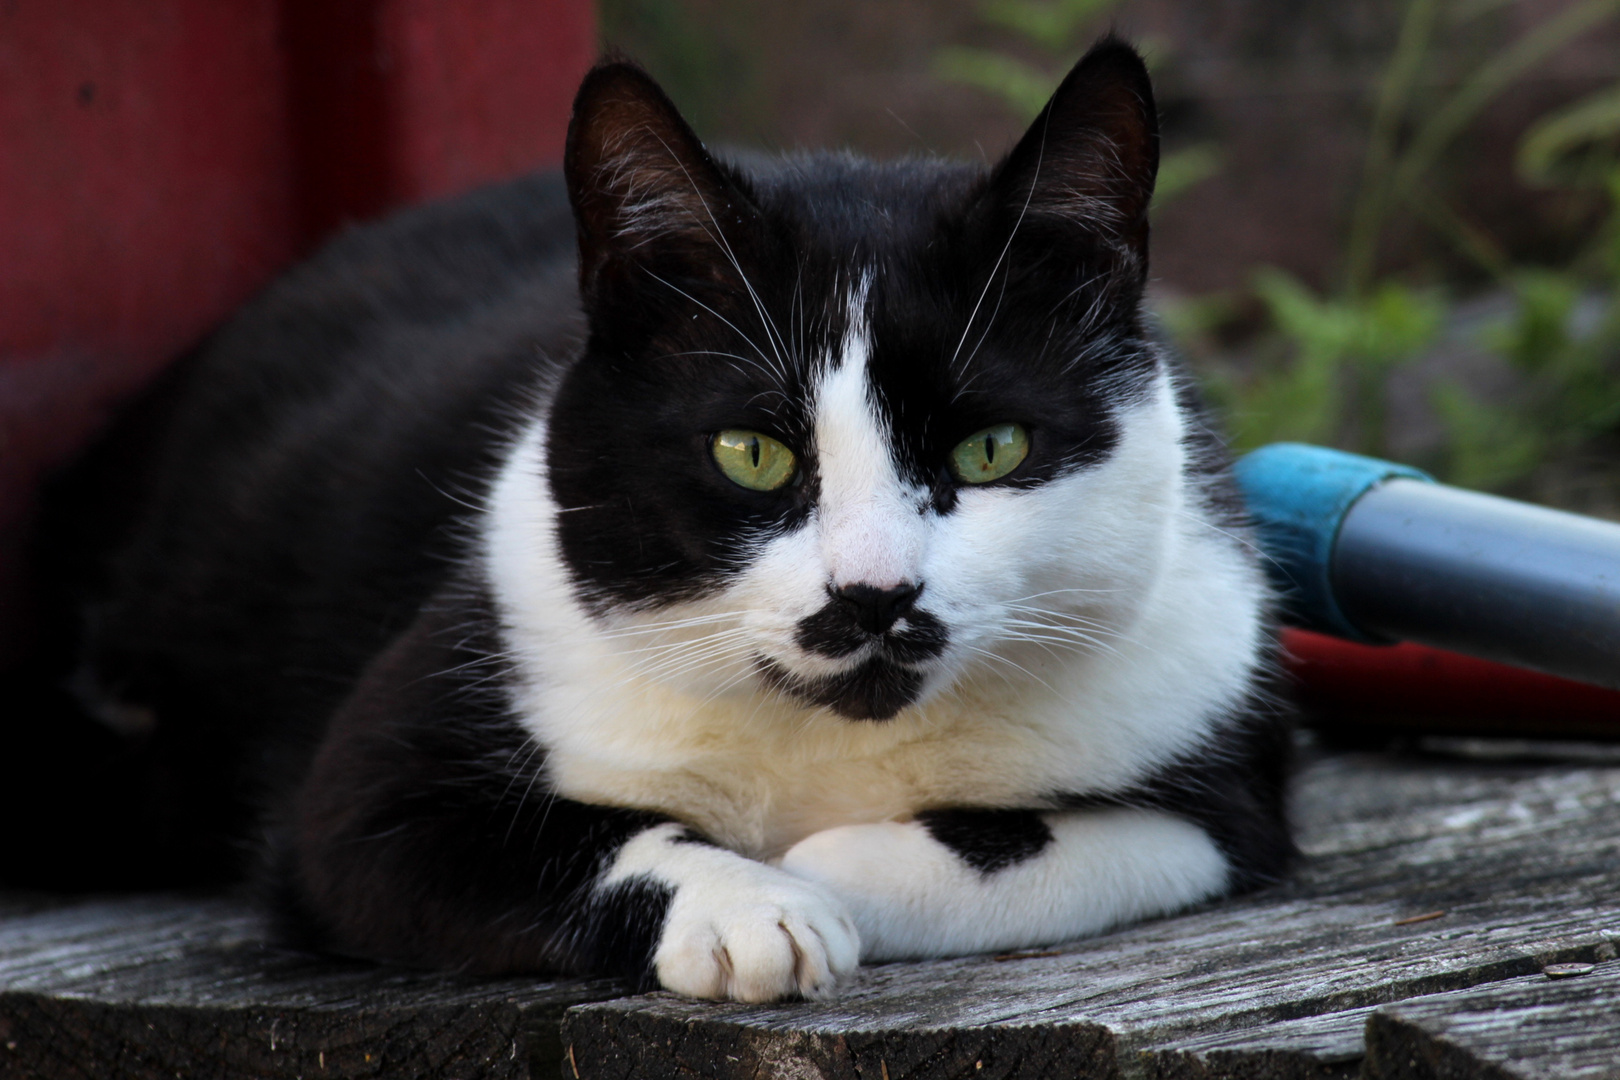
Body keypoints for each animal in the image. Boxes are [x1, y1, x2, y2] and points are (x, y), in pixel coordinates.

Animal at [41, 40, 1289, 1003]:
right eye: (750, 452)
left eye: (992, 451)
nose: (873, 596)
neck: (829, 742)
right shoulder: (364, 803)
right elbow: (574, 832)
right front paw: (754, 905)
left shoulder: (1231, 778)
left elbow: (1044, 842)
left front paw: (826, 873)